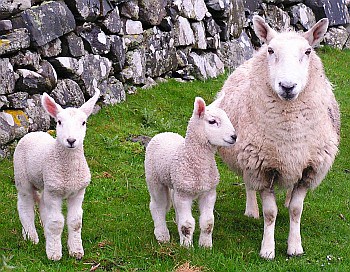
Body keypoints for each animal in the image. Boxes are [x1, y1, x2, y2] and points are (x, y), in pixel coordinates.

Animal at [13, 88, 100, 260]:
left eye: (83, 122)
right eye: (59, 122)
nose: (71, 140)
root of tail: (33, 132)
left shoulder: (78, 192)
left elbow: (75, 222)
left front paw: (76, 251)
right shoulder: (54, 192)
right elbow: (56, 223)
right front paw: (54, 253)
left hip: (43, 182)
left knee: (41, 203)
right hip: (21, 176)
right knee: (25, 204)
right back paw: (31, 236)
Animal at [144, 96, 237, 248]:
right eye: (212, 121)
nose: (234, 137)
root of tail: (164, 133)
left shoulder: (209, 192)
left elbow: (208, 222)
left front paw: (205, 245)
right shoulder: (184, 195)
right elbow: (187, 224)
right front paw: (187, 246)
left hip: (175, 183)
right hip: (154, 179)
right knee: (157, 206)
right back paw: (162, 234)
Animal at [216, 15, 340, 260]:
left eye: (308, 51)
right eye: (271, 50)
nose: (287, 86)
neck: (289, 135)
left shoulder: (309, 168)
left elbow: (296, 209)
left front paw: (295, 246)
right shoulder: (262, 167)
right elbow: (270, 213)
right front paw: (267, 249)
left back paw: (287, 198)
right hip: (246, 156)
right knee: (248, 184)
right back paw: (251, 210)